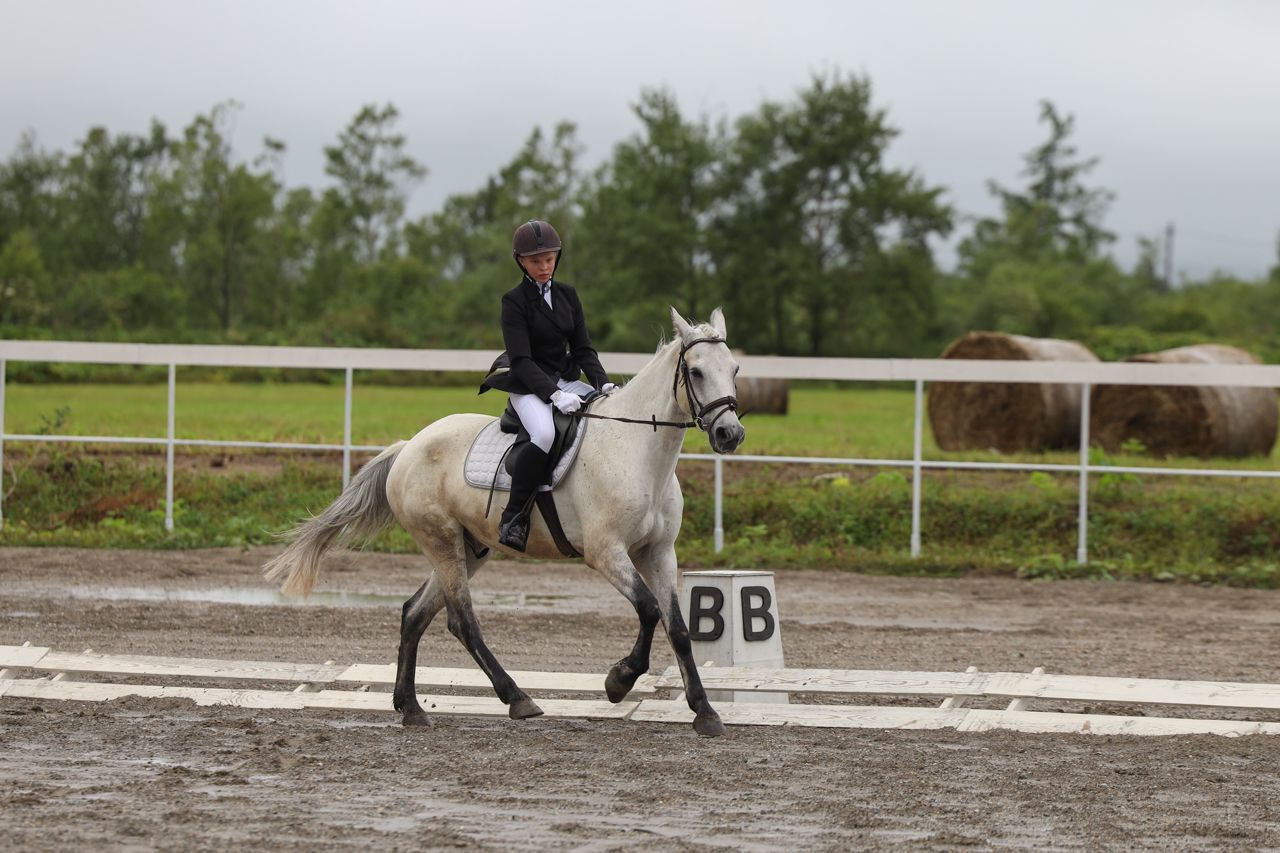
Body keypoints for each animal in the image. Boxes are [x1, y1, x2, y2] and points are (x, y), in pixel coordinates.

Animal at [267, 307, 747, 737]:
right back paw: (517, 698)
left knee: (415, 614)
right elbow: (648, 610)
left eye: (735, 369)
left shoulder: (658, 552)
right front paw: (618, 682)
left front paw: (705, 712)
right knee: (462, 621)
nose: (731, 435)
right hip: (441, 540)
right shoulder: (605, 552)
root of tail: (408, 446)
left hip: (470, 548)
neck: (637, 450)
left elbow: (678, 628)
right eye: (696, 372)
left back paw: (412, 708)